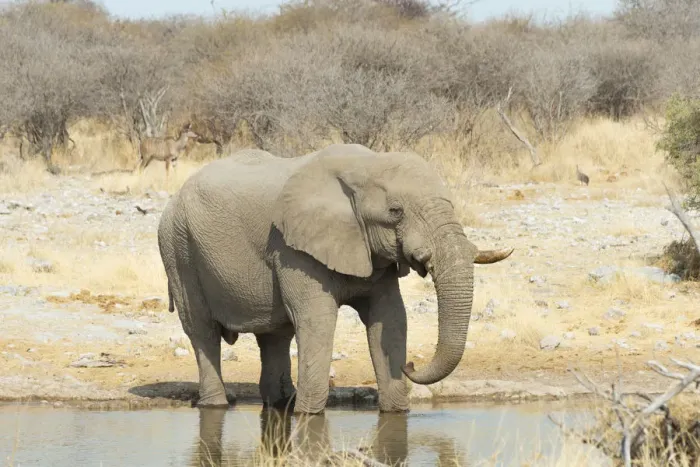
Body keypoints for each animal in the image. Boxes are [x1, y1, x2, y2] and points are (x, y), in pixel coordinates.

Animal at [157, 143, 513, 414]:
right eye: (395, 211)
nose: (411, 365)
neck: (365, 166)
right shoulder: (292, 247)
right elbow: (317, 320)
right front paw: (308, 415)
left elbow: (390, 318)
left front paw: (397, 412)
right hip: (178, 248)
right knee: (202, 329)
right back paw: (219, 405)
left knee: (275, 335)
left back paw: (281, 404)